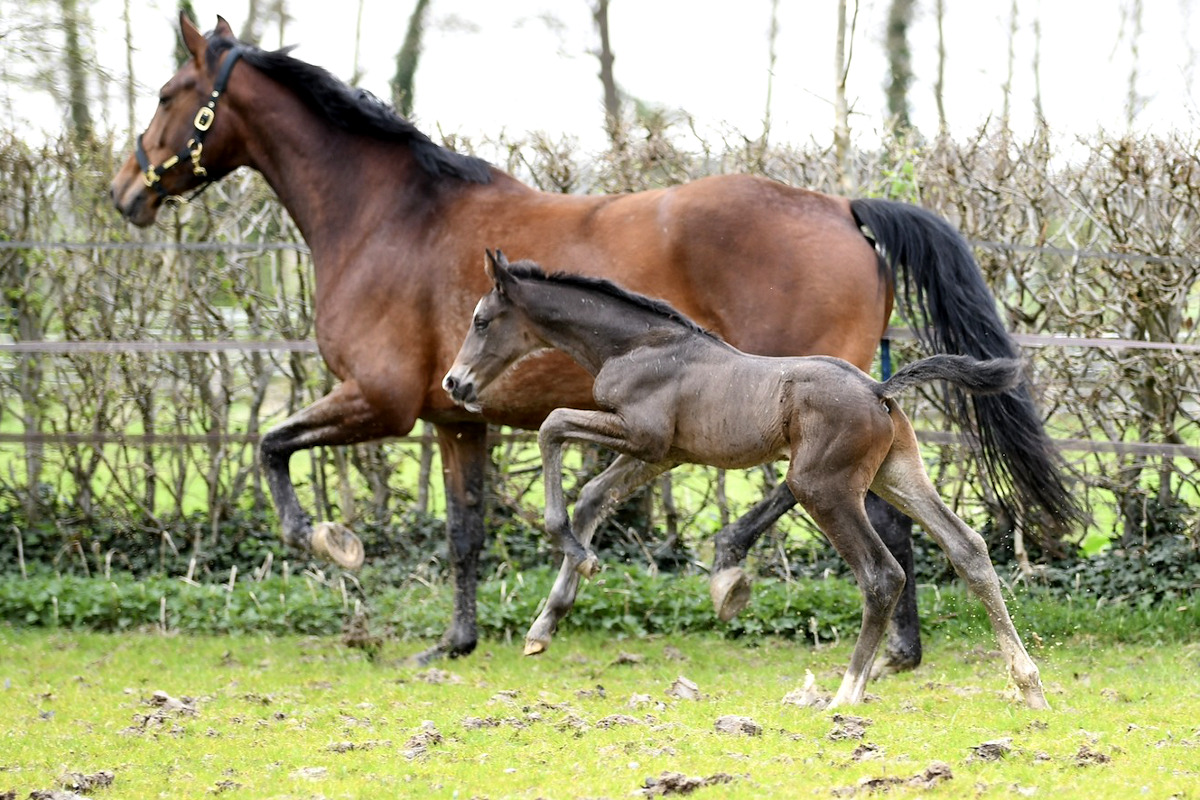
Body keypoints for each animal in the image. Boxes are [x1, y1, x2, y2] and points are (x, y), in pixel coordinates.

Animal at [444, 251, 1049, 710]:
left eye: (481, 320)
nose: (455, 383)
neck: (640, 345)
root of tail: (879, 389)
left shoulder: (643, 436)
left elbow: (552, 427)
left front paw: (574, 559)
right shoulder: (662, 455)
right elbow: (593, 496)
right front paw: (547, 621)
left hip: (822, 488)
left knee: (881, 576)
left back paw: (844, 696)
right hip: (896, 475)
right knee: (967, 549)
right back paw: (1029, 686)